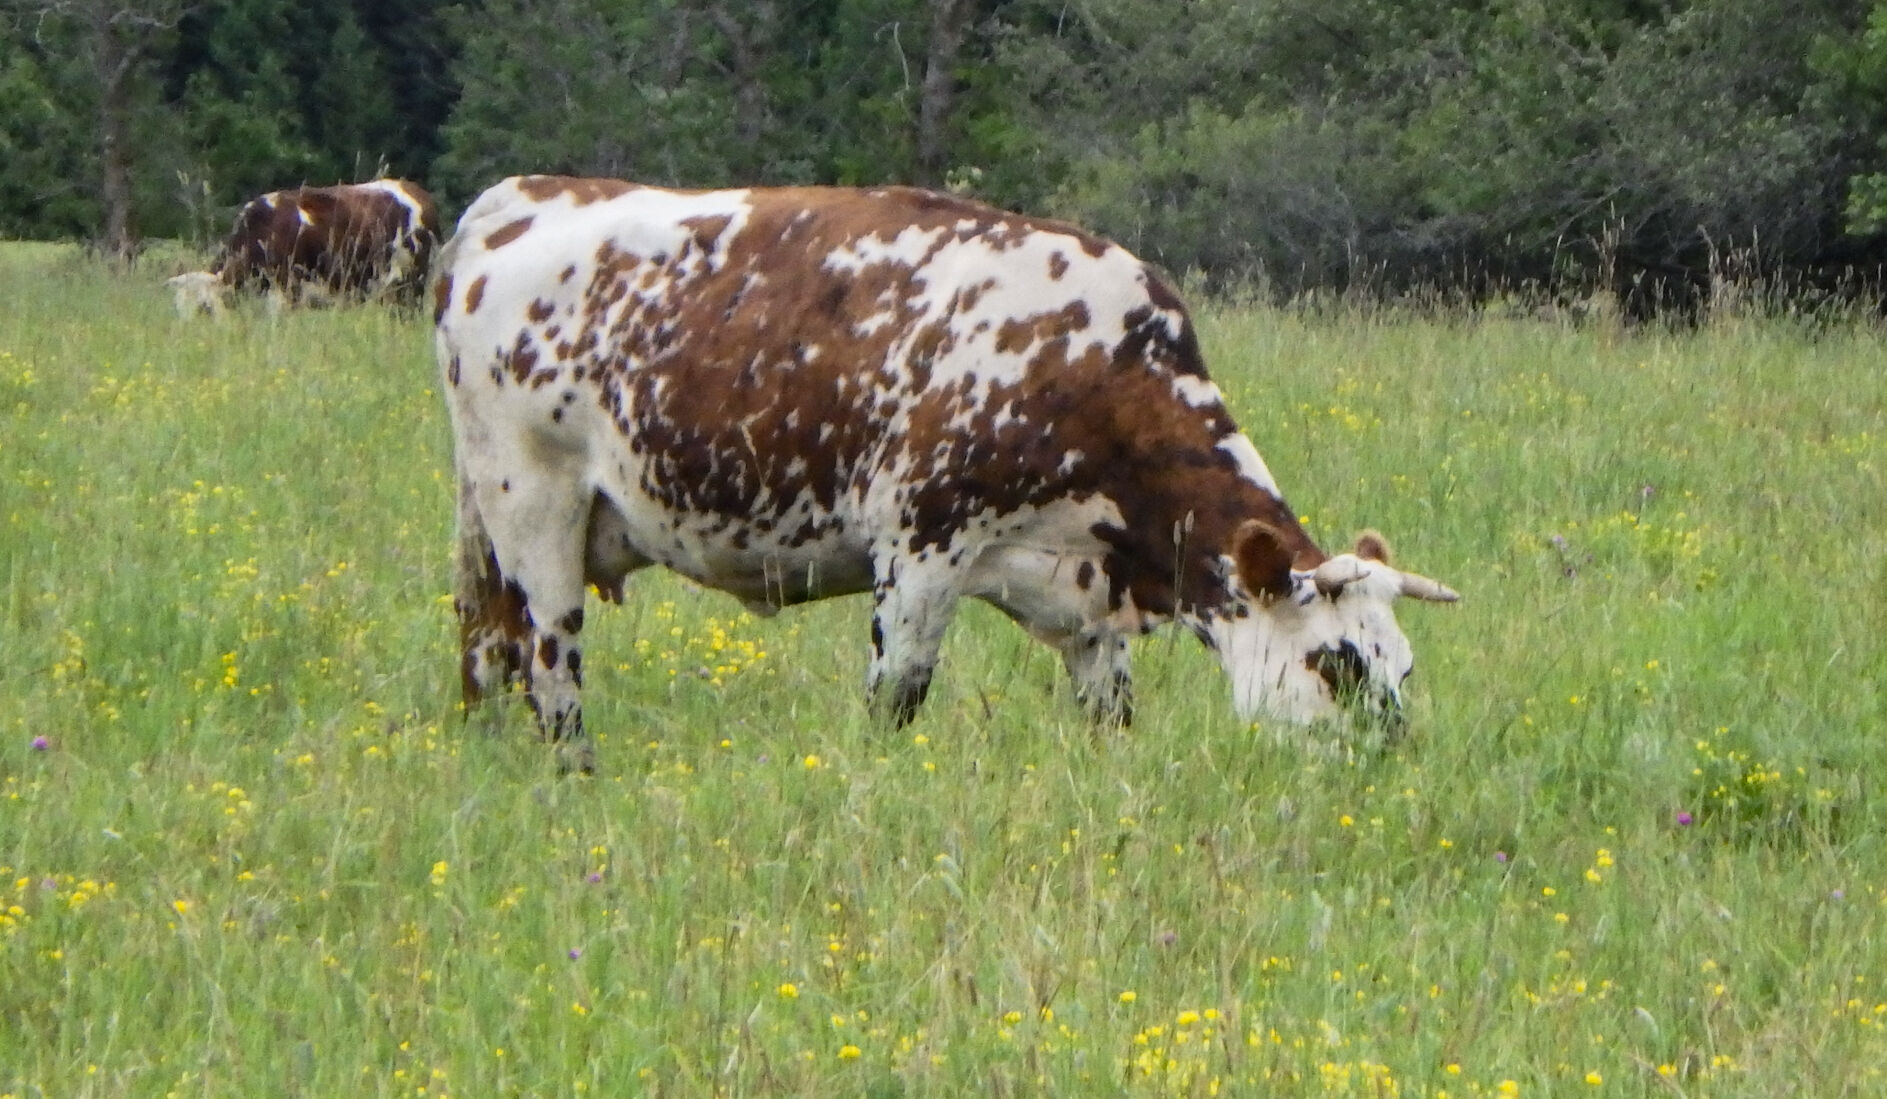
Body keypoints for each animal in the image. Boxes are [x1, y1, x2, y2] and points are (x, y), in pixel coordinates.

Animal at [434, 174, 1457, 772]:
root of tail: (522, 196)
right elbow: (895, 699)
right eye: (1335, 661)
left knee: (485, 643)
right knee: (549, 664)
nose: (1392, 760)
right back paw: (573, 769)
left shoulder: (1083, 595)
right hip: (533, 506)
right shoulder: (920, 550)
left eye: (1402, 661)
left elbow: (1111, 713)